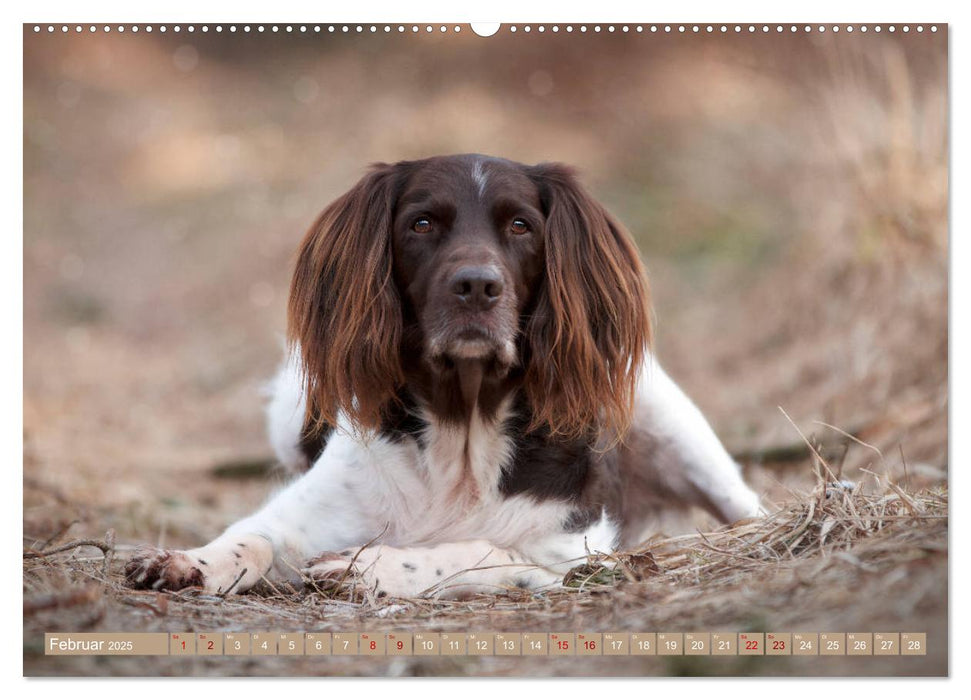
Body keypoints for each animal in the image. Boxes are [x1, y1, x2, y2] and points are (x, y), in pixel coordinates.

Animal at [125, 156, 764, 600]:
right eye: (422, 223)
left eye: (521, 225)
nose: (477, 285)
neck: (462, 432)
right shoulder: (297, 513)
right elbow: (250, 536)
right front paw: (186, 562)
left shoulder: (575, 555)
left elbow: (474, 551)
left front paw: (364, 565)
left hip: (672, 424)